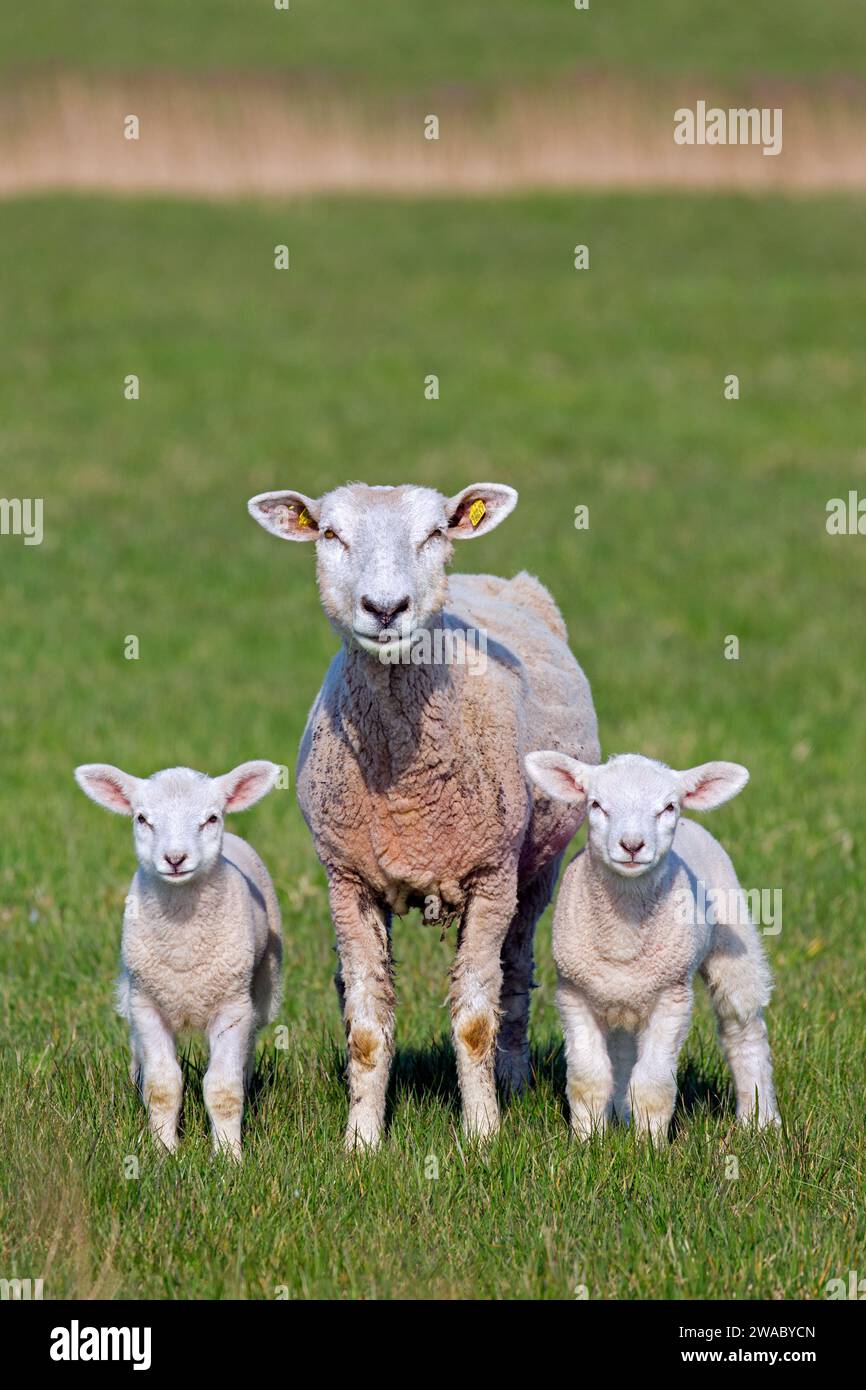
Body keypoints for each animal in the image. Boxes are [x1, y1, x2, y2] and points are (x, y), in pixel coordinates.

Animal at [75, 756, 283, 1156]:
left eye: (211, 818)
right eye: (142, 818)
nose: (175, 858)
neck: (183, 946)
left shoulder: (232, 1005)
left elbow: (223, 1089)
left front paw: (229, 1156)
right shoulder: (147, 1004)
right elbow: (162, 1086)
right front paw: (164, 1152)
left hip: (262, 986)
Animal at [247, 483, 600, 1145]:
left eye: (434, 533)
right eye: (330, 533)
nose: (385, 608)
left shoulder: (491, 876)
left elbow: (476, 1022)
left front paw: (483, 1133)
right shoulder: (348, 882)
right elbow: (365, 1028)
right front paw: (361, 1140)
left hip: (536, 868)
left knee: (516, 974)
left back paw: (513, 1079)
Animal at [525, 750, 783, 1139]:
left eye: (668, 807)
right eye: (596, 804)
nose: (632, 846)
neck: (623, 935)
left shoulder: (671, 998)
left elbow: (653, 1086)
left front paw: (650, 1145)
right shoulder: (574, 994)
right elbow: (588, 1080)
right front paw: (587, 1141)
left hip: (734, 943)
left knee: (744, 1030)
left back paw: (760, 1120)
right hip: (619, 995)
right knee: (622, 1053)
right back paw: (621, 1118)